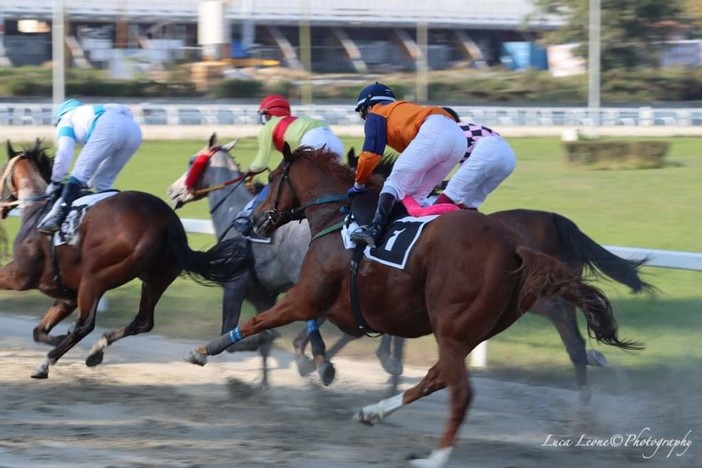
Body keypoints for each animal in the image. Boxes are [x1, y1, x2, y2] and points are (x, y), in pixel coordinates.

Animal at [0, 140, 250, 380]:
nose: (2, 207)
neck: (37, 211)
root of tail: (167, 223)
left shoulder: (20, 275)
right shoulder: (65, 296)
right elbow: (39, 331)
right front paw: (60, 336)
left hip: (95, 276)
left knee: (85, 325)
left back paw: (47, 362)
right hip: (155, 279)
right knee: (143, 321)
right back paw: (96, 349)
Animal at [186, 145, 644, 468]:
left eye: (274, 178)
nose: (251, 221)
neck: (337, 218)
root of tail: (517, 245)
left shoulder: (307, 297)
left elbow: (258, 323)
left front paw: (206, 351)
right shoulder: (352, 309)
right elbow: (308, 333)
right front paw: (318, 365)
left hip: (457, 323)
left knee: (463, 389)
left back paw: (433, 456)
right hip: (472, 328)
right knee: (440, 376)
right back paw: (373, 411)